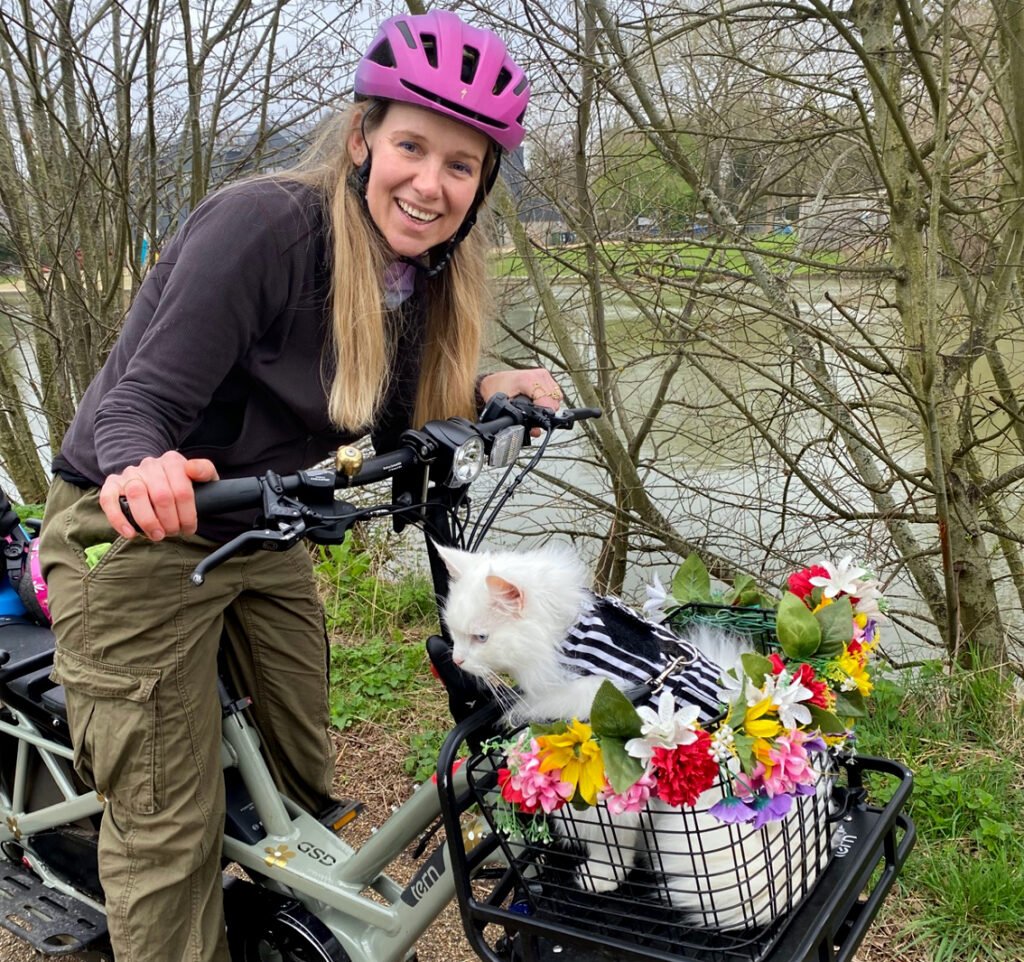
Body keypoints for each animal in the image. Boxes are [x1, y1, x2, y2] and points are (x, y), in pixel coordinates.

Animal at [434, 545, 831, 930]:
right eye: (455, 634)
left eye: (480, 637)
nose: (457, 660)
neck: (568, 638)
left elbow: (613, 846)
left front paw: (600, 878)